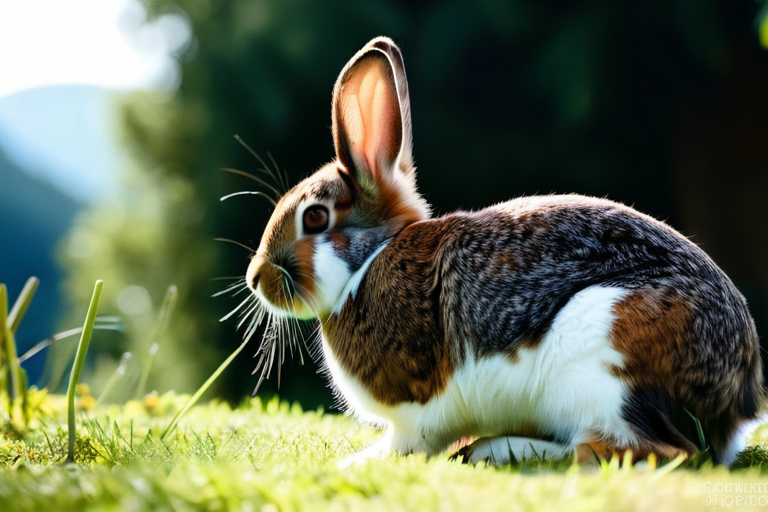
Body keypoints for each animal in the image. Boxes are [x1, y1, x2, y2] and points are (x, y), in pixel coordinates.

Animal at [244, 36, 764, 466]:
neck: (369, 261)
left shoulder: (418, 414)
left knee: (639, 450)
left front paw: (353, 464)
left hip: (603, 363)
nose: (255, 278)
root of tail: (737, 392)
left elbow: (406, 445)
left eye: (315, 217)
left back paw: (496, 450)